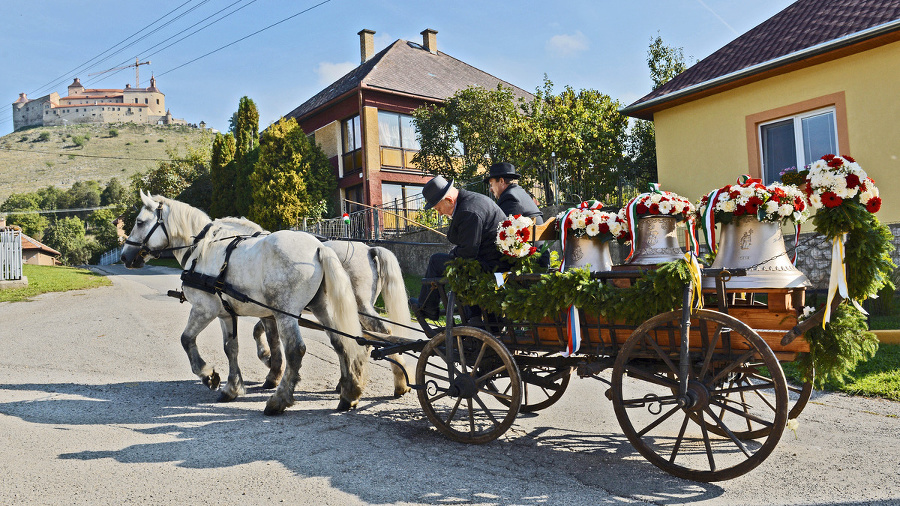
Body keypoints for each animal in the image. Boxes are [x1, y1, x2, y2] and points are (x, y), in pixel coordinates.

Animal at [121, 192, 368, 414]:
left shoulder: (204, 309)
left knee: (295, 350)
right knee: (341, 342)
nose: (124, 256)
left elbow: (187, 339)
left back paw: (279, 401)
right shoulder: (225, 314)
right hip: (321, 307)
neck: (202, 249)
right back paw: (349, 394)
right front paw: (232, 387)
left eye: (139, 222)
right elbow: (231, 348)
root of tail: (319, 247)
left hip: (285, 312)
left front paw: (208, 375)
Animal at [253, 241, 414, 400]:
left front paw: (271, 369)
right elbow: (258, 330)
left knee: (381, 332)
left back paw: (399, 383)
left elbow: (269, 337)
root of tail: (369, 250)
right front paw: (268, 359)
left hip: (360, 306)